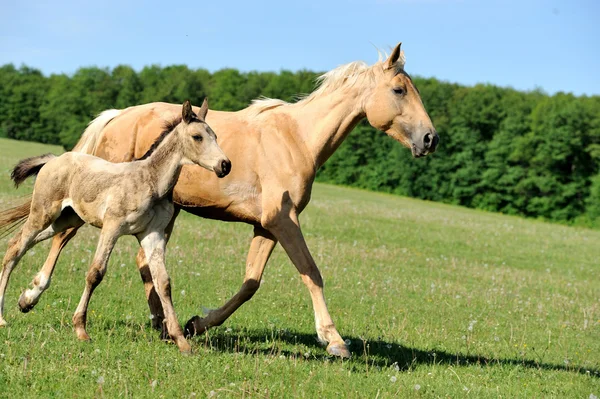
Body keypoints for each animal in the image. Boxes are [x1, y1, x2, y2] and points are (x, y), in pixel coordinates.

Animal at [0, 100, 230, 354]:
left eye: (215, 135)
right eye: (197, 137)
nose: (225, 165)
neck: (150, 182)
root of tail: (53, 159)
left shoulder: (152, 235)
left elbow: (163, 282)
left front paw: (181, 341)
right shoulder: (112, 227)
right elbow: (95, 273)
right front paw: (80, 330)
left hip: (65, 219)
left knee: (17, 244)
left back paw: (23, 301)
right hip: (43, 214)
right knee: (16, 249)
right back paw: (2, 317)